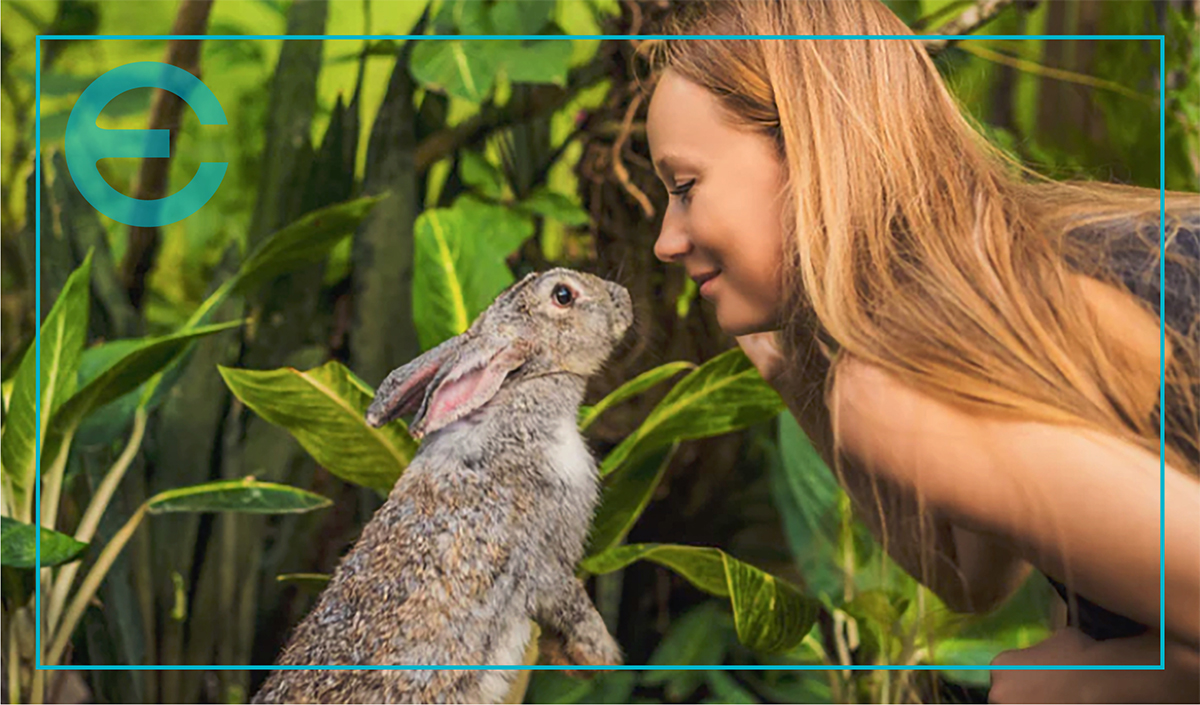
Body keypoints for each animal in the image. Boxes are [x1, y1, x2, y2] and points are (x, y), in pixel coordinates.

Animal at [252, 268, 632, 705]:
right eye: (563, 295)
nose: (623, 297)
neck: (520, 393)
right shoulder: (543, 558)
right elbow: (570, 602)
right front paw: (599, 657)